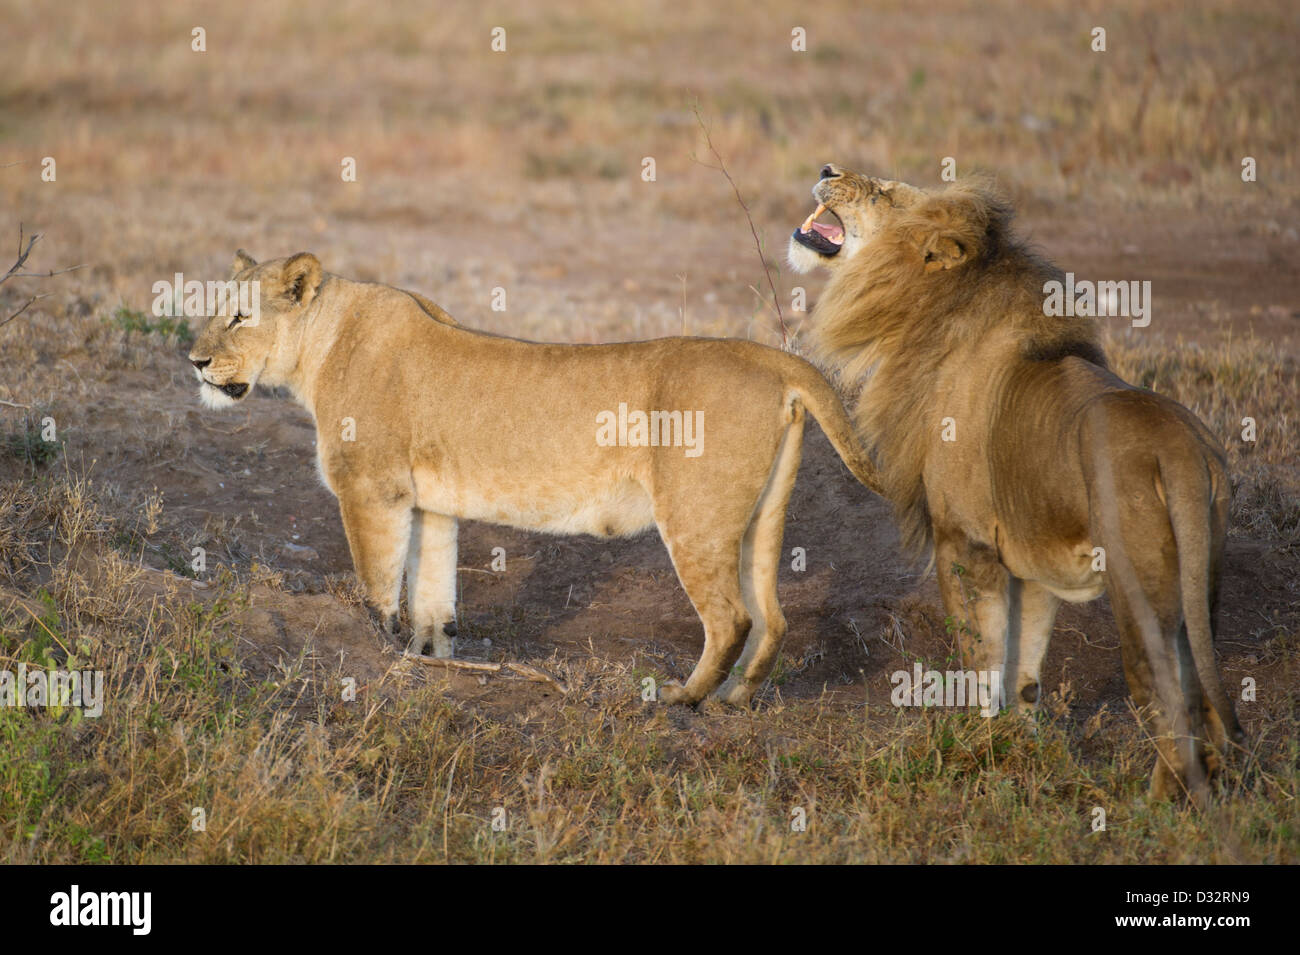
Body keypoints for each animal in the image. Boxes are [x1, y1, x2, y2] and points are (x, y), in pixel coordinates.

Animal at [187, 250, 882, 707]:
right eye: (212, 310)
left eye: (241, 316)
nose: (193, 361)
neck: (321, 346)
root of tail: (773, 359)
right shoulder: (430, 503)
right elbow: (433, 596)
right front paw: (430, 661)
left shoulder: (371, 490)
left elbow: (379, 584)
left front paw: (375, 652)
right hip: (763, 516)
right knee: (773, 618)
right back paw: (736, 699)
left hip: (695, 516)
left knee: (731, 618)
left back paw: (680, 700)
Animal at [788, 165, 1244, 800]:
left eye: (883, 192)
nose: (828, 170)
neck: (925, 313)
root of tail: (1180, 450)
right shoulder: (1033, 566)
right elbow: (1025, 666)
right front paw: (1020, 748)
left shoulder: (965, 542)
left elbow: (980, 659)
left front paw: (973, 747)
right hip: (1198, 582)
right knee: (1201, 699)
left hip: (1137, 589)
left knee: (1168, 699)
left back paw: (1154, 806)